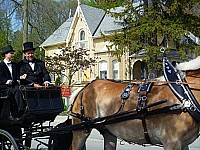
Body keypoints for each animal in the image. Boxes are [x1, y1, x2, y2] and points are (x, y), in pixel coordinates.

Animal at [69, 61, 200, 149]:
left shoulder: (183, 144)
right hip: (81, 131)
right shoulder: (172, 142)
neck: (184, 94)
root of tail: (83, 89)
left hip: (108, 132)